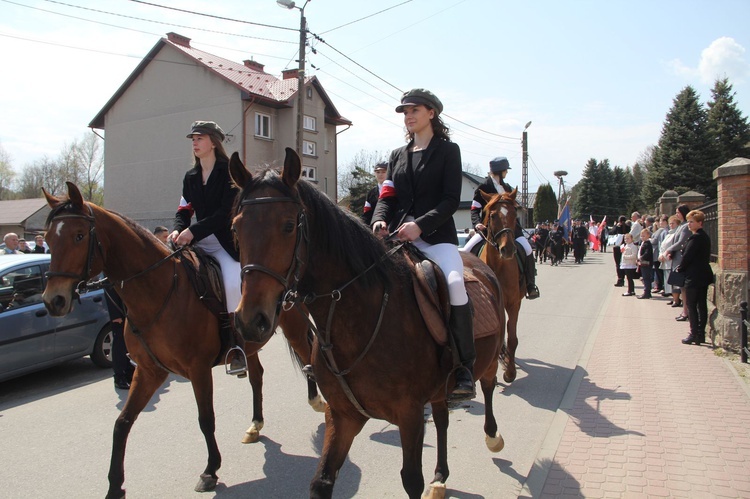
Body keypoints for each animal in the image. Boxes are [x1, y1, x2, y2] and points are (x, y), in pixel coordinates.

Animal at [41, 183, 324, 499]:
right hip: (249, 340)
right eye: (48, 238)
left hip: (294, 327)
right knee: (257, 376)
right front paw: (115, 486)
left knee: (308, 357)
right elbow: (122, 423)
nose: (54, 300)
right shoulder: (149, 371)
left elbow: (206, 419)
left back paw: (317, 403)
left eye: (79, 236)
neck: (158, 290)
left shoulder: (198, 370)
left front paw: (210, 470)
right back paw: (255, 425)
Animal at [229, 149, 512, 499]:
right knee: (443, 418)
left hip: (484, 362)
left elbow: (411, 480)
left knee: (487, 385)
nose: (250, 320)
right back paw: (440, 477)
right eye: (236, 229)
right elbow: (321, 481)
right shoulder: (342, 415)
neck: (359, 318)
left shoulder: (410, 415)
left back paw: (492, 436)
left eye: (288, 226)